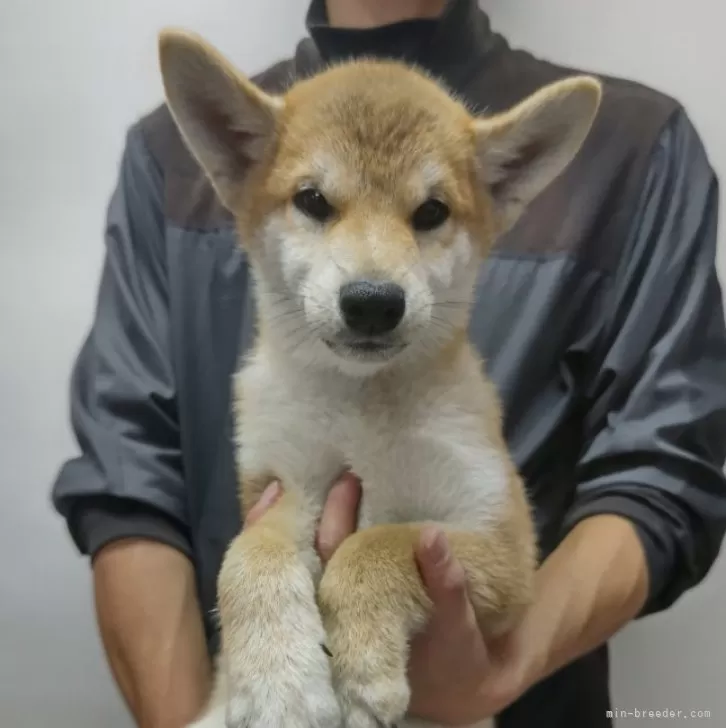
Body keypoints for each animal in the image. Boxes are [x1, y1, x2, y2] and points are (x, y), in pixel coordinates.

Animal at [158, 27, 604, 728]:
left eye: (431, 212)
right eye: (313, 201)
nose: (372, 301)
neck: (358, 409)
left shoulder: (501, 546)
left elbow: (378, 544)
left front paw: (363, 667)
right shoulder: (282, 489)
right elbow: (247, 558)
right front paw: (278, 682)